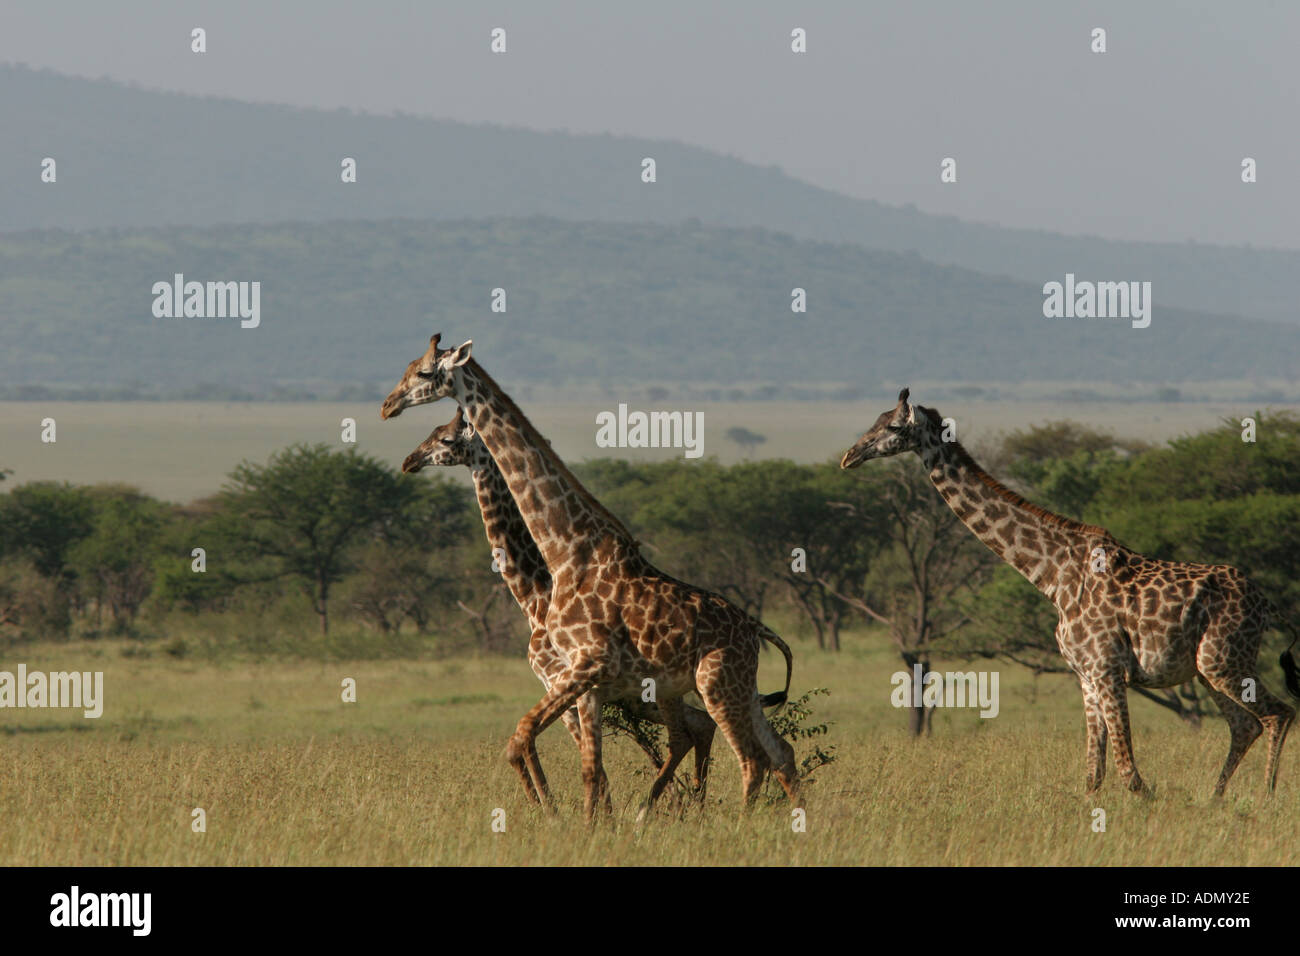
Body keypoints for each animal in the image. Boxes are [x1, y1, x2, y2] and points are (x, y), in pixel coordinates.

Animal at [402, 406, 721, 801]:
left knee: (697, 728)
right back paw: (690, 802)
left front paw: (552, 808)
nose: (409, 461)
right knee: (701, 725)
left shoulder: (560, 683)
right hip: (649, 699)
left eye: (446, 438)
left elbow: (564, 757)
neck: (534, 598)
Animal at [839, 388, 1297, 797]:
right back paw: (1215, 799)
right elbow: (1094, 774)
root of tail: (1267, 604)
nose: (849, 456)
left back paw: (1265, 798)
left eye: (894, 426)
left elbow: (1129, 773)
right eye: (877, 419)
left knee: (1278, 713)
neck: (1053, 576)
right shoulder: (1086, 676)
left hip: (1224, 659)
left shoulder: (1107, 669)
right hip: (1207, 668)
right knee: (1244, 725)